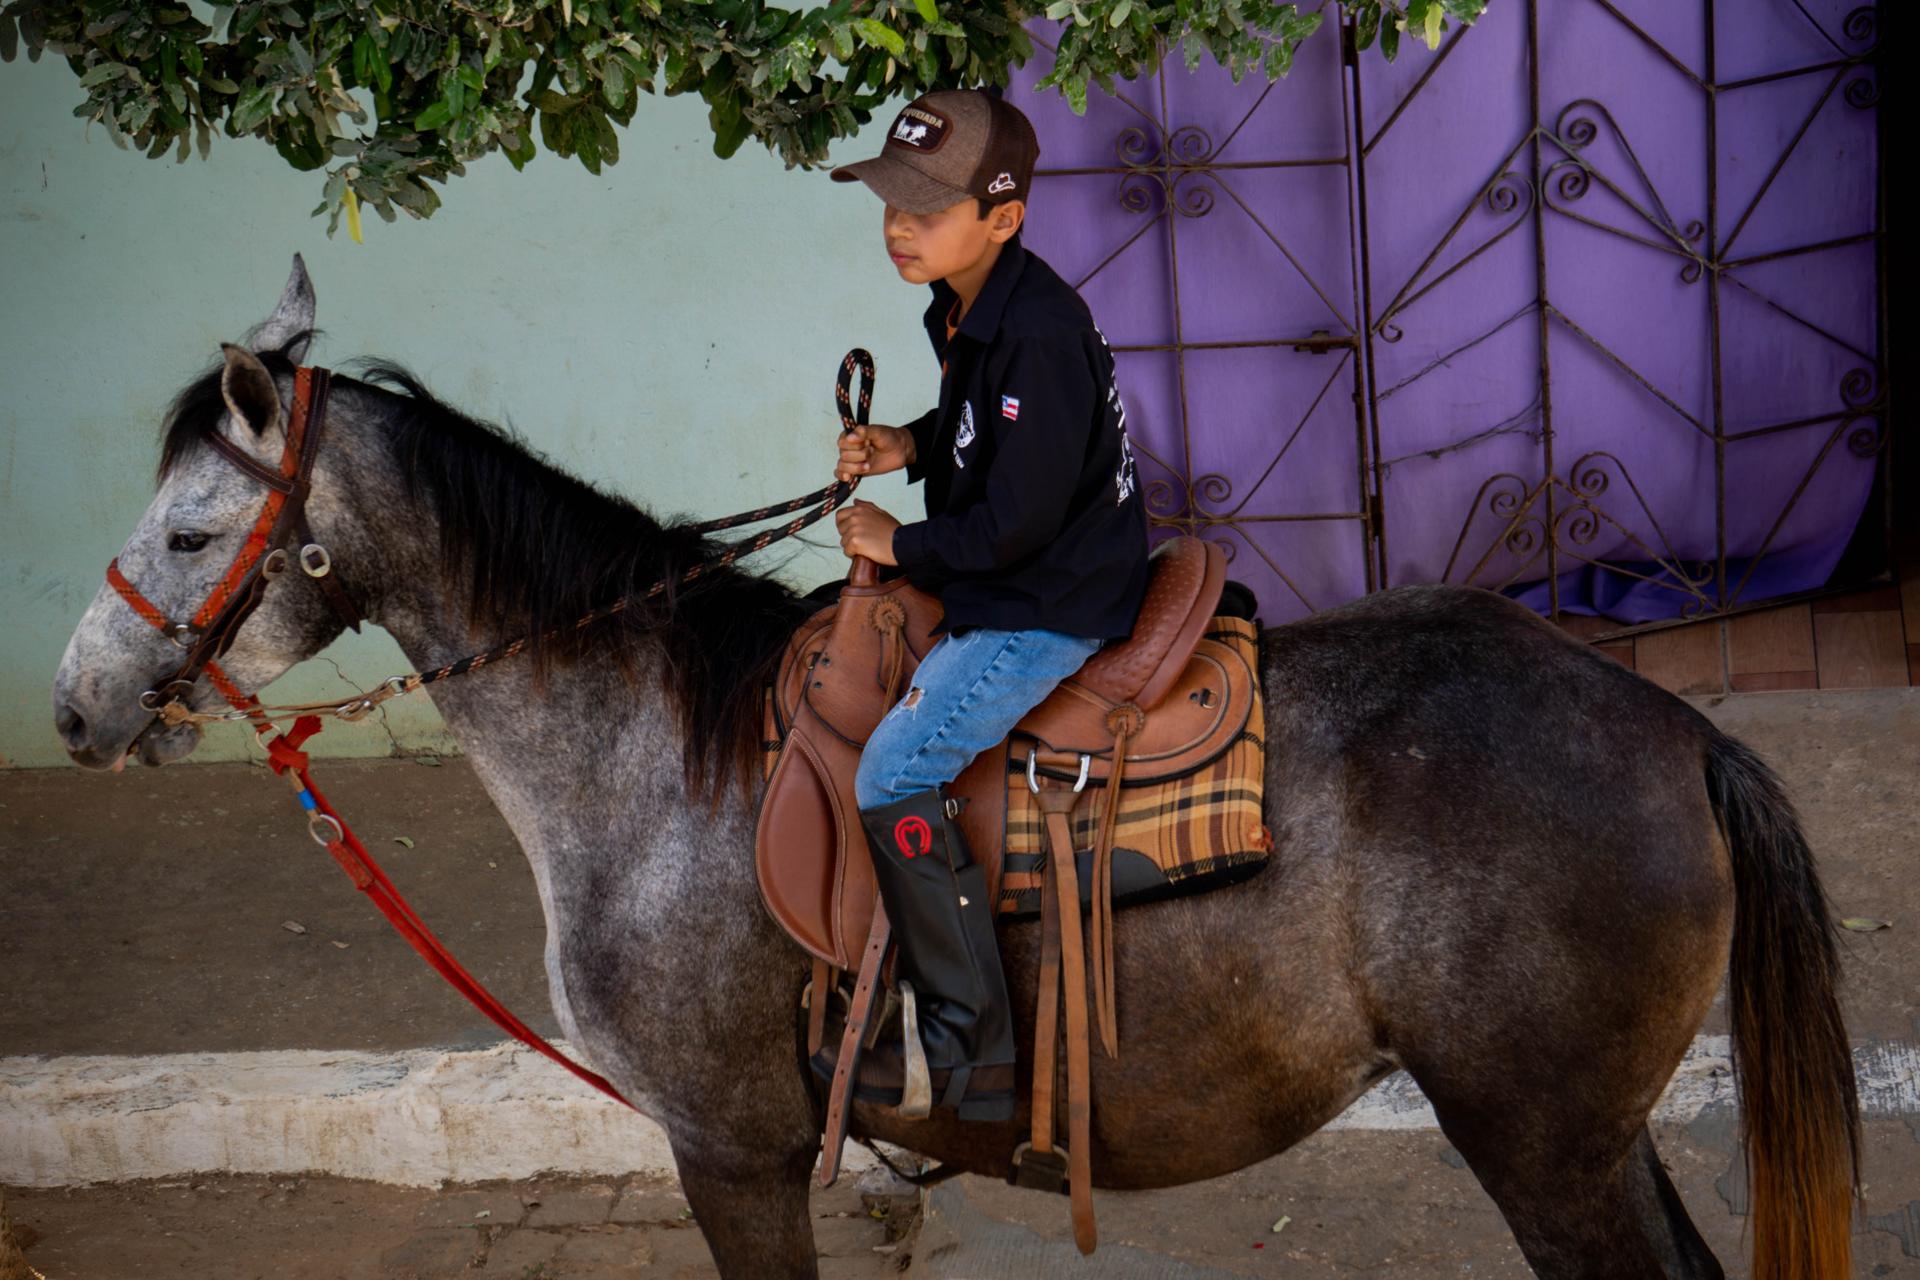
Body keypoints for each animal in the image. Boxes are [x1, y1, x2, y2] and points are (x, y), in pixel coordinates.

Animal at [51, 258, 1858, 1278]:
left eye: (193, 531)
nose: (75, 710)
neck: (647, 760)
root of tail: (1681, 732)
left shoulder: (732, 1154)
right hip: (1592, 1133)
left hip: (1544, 1143)